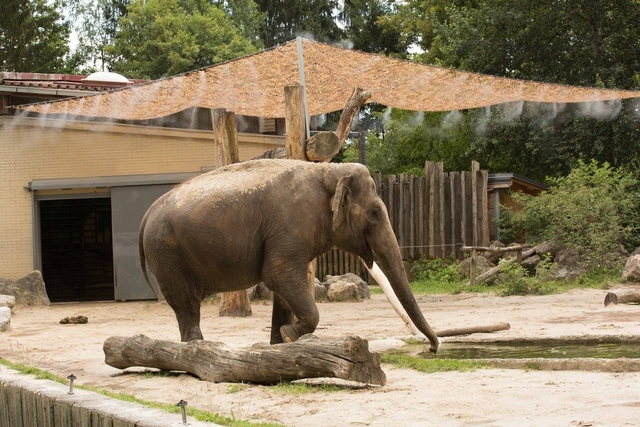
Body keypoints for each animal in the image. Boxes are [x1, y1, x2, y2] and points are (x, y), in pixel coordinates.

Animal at [139, 159, 440, 352]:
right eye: (375, 213)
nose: (433, 349)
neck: (329, 170)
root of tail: (146, 213)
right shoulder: (292, 226)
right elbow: (278, 274)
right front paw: (289, 337)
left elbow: (280, 287)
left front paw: (278, 344)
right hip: (166, 253)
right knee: (186, 304)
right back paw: (196, 347)